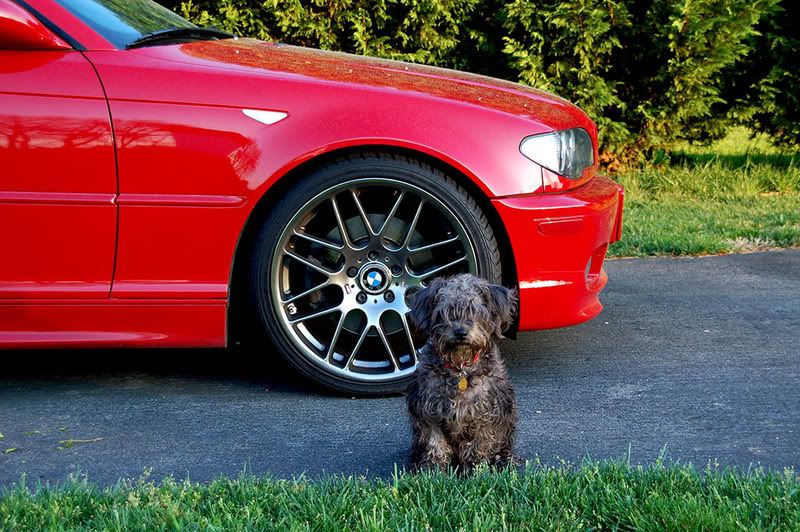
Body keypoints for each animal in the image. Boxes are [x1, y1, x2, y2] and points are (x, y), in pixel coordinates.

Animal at [405, 273, 518, 473]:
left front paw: (475, 468)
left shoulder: (486, 411)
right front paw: (432, 469)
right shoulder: (427, 409)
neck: (460, 369)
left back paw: (502, 459)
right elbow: (434, 440)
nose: (461, 332)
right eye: (445, 313)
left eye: (475, 311)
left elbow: (480, 441)